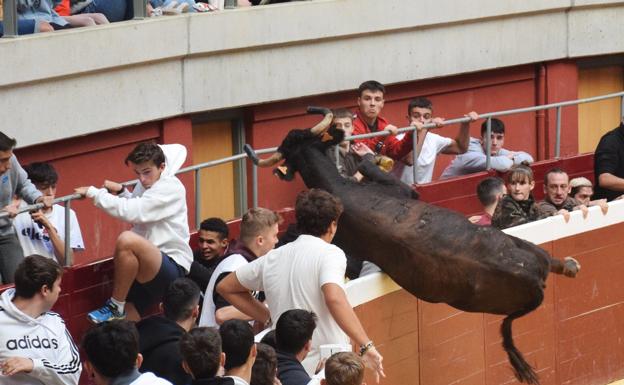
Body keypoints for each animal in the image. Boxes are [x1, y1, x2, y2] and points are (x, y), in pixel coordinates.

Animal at [250, 124, 580, 382]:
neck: (339, 190)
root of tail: (532, 277)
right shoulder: (400, 193)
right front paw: (365, 155)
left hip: (516, 248)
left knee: (545, 257)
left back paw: (569, 264)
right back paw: (567, 264)